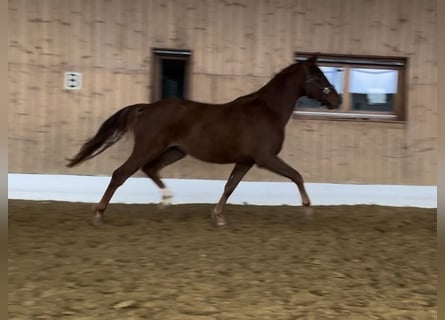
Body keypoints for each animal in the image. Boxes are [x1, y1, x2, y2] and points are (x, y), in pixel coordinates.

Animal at [66, 55, 340, 225]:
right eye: (319, 77)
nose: (336, 100)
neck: (267, 111)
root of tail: (145, 107)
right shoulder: (266, 158)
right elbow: (297, 176)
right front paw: (308, 208)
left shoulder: (246, 161)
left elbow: (230, 186)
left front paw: (218, 216)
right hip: (148, 147)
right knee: (120, 174)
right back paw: (99, 214)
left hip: (175, 151)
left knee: (150, 169)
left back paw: (166, 201)